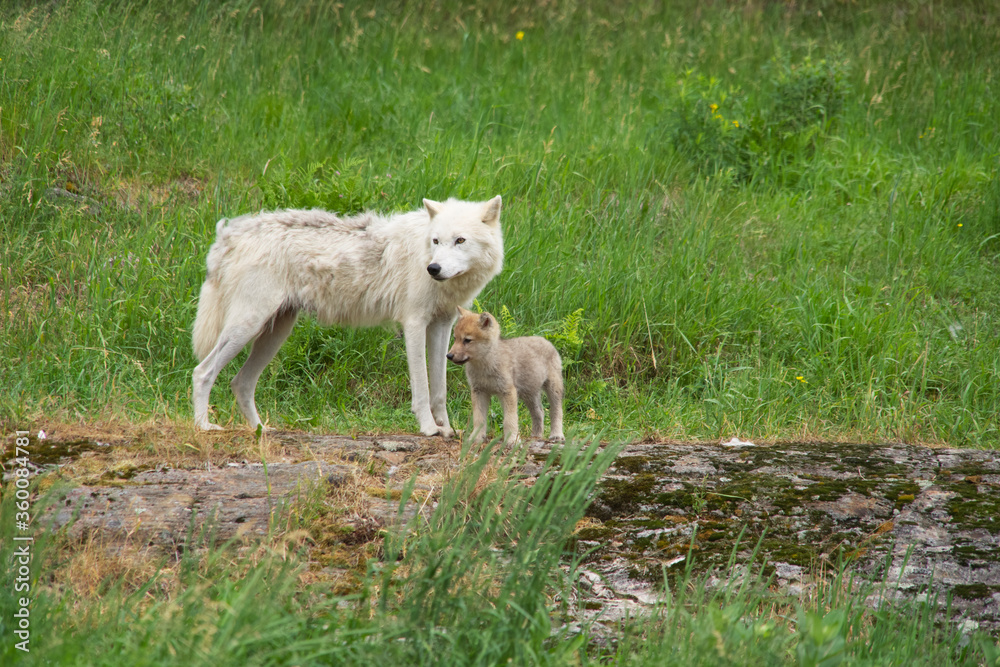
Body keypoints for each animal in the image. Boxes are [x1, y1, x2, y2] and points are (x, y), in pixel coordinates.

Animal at [191, 196, 504, 435]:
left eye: (460, 240)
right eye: (436, 241)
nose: (433, 268)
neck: (424, 250)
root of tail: (229, 234)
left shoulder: (441, 325)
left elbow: (439, 389)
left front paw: (447, 430)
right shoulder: (414, 323)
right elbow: (422, 388)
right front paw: (429, 429)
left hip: (275, 333)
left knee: (241, 383)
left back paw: (261, 431)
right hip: (247, 327)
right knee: (203, 372)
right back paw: (204, 427)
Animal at [446, 307, 564, 446]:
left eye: (467, 340)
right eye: (455, 338)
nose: (449, 355)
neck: (485, 365)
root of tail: (545, 340)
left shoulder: (507, 392)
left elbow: (509, 419)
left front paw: (513, 440)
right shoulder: (478, 391)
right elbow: (479, 419)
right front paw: (476, 438)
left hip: (553, 389)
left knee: (556, 411)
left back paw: (557, 435)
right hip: (529, 394)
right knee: (539, 413)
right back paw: (536, 436)